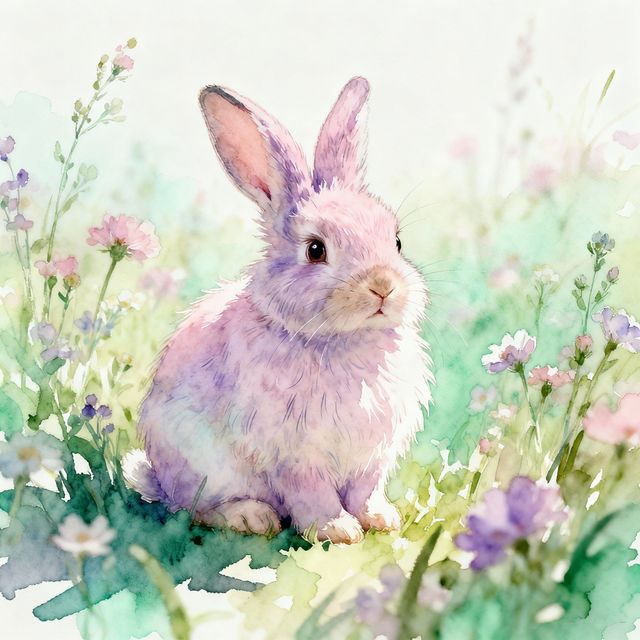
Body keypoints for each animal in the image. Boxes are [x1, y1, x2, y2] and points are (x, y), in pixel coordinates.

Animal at [135, 77, 434, 544]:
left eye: (397, 241)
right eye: (315, 250)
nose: (384, 286)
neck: (342, 341)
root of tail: (157, 480)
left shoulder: (372, 456)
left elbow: (366, 491)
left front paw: (382, 519)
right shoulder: (293, 455)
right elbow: (311, 493)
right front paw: (338, 530)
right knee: (195, 508)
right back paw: (250, 517)